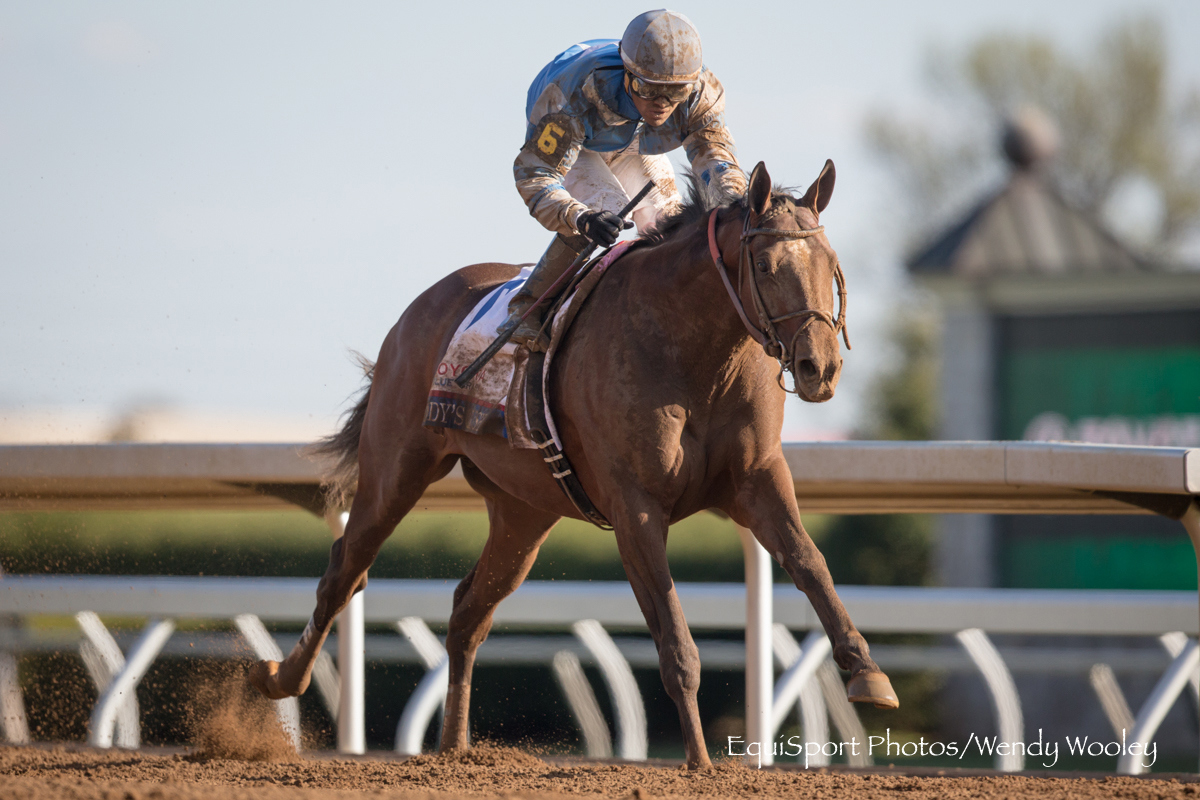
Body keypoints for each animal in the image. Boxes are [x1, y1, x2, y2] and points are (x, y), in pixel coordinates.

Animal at [249, 161, 898, 768]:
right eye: (764, 266)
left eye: (829, 262)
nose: (819, 368)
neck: (696, 356)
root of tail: (419, 308)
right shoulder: (636, 506)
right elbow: (674, 638)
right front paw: (699, 762)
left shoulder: (758, 479)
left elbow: (810, 562)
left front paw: (868, 673)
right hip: (396, 469)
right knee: (345, 571)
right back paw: (279, 678)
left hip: (523, 511)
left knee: (468, 610)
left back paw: (455, 749)